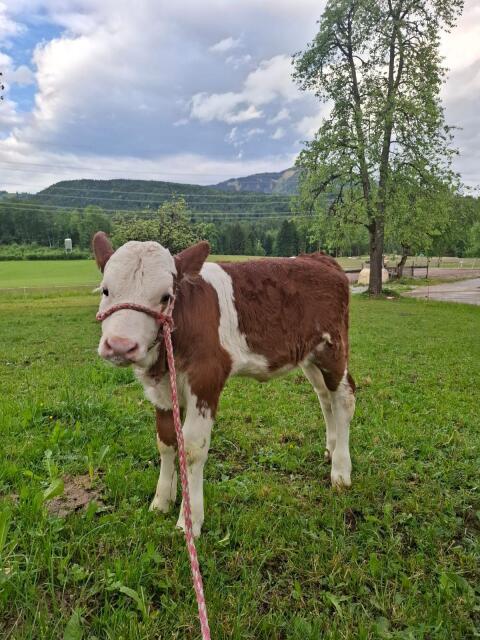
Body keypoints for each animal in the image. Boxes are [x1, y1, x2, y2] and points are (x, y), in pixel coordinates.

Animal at [92, 232, 355, 537]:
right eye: (105, 290)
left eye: (165, 296)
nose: (120, 345)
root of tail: (318, 258)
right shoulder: (161, 390)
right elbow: (166, 442)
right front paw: (162, 500)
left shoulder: (206, 377)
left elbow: (192, 448)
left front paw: (189, 520)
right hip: (309, 355)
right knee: (325, 396)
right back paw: (331, 448)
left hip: (332, 347)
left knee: (344, 397)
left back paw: (341, 471)